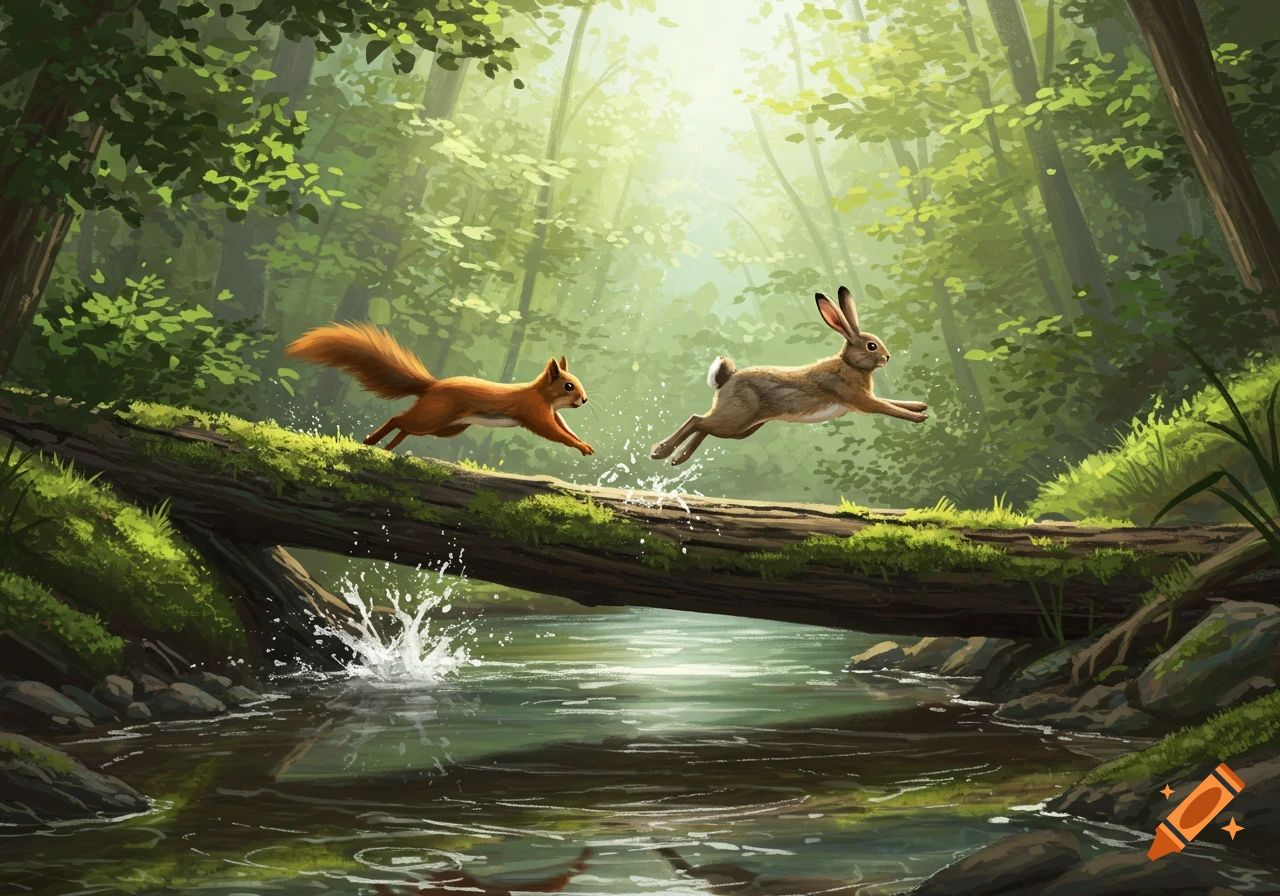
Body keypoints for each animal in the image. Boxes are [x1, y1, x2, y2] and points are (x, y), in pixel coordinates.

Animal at [284, 322, 594, 455]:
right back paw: (372, 441)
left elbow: (564, 428)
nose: (584, 399)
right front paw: (579, 446)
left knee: (406, 427)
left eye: (578, 383)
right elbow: (553, 432)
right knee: (399, 419)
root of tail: (434, 386)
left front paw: (583, 441)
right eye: (568, 385)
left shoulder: (553, 413)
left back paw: (388, 449)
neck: (544, 396)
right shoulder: (533, 411)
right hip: (434, 415)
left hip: (447, 427)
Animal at [651, 286, 928, 466]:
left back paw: (677, 459)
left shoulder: (863, 399)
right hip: (737, 418)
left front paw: (919, 405)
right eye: (872, 346)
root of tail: (726, 380)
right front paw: (919, 417)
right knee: (697, 420)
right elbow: (887, 407)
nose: (887, 357)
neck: (850, 364)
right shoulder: (859, 399)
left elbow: (892, 402)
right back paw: (660, 452)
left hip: (742, 427)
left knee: (704, 426)